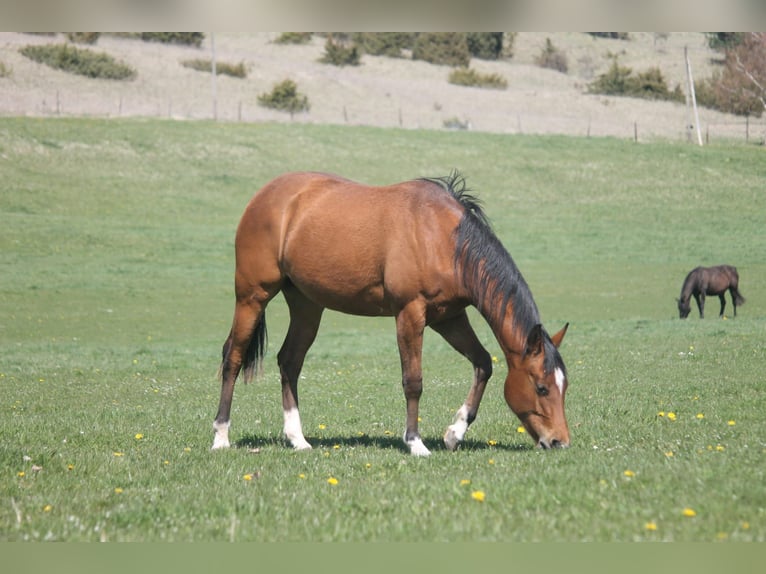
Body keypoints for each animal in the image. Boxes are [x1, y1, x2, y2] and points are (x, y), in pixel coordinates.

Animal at [213, 171, 570, 456]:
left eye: (563, 386)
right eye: (541, 387)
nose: (559, 441)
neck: (443, 238)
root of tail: (267, 194)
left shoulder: (449, 317)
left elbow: (483, 363)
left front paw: (454, 433)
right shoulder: (410, 314)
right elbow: (413, 381)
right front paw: (415, 442)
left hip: (307, 304)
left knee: (289, 361)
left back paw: (297, 439)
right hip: (252, 296)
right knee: (234, 357)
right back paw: (221, 436)